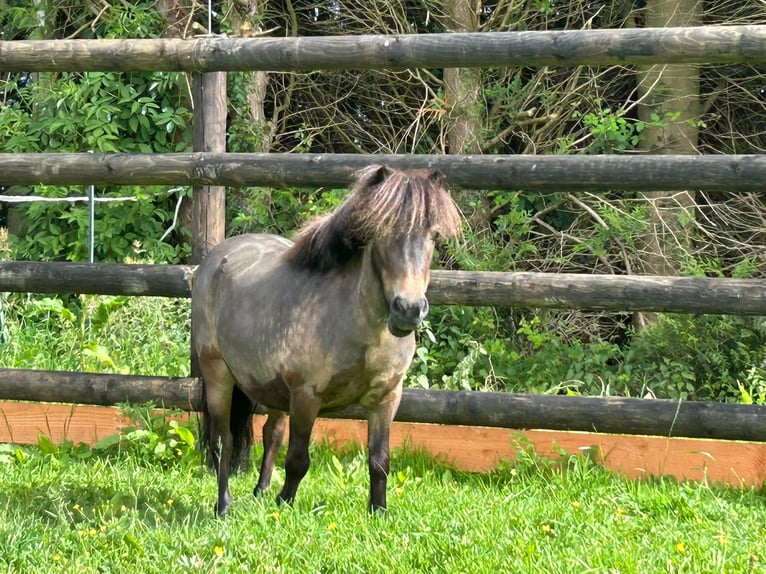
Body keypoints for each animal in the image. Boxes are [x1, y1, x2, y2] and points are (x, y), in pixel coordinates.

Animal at [191, 164, 462, 515]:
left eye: (434, 236)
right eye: (381, 232)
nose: (409, 310)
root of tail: (215, 259)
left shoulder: (387, 399)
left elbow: (379, 461)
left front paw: (378, 511)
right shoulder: (306, 396)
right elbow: (297, 460)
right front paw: (284, 504)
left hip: (272, 390)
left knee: (271, 433)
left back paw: (261, 492)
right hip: (218, 376)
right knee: (223, 438)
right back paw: (224, 504)